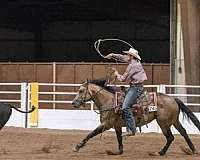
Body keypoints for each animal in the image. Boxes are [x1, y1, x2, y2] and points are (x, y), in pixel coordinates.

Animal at [72, 79, 200, 156]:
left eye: (81, 90)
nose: (74, 103)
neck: (109, 101)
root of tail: (173, 99)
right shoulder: (116, 125)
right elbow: (119, 138)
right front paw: (118, 152)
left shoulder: (106, 124)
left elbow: (91, 134)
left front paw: (77, 146)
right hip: (174, 121)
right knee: (183, 132)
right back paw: (193, 150)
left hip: (164, 123)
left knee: (170, 137)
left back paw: (160, 152)